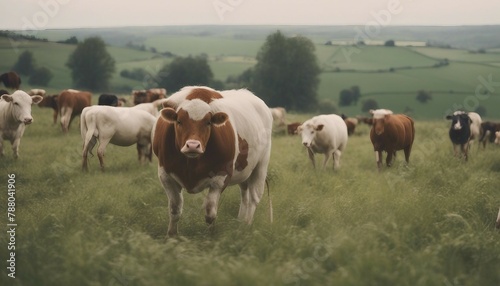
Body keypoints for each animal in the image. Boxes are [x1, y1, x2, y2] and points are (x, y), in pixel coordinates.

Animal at [151, 85, 274, 237]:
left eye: (208, 122)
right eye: (179, 121)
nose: (193, 145)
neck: (192, 163)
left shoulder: (221, 177)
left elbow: (210, 212)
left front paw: (210, 236)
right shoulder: (166, 175)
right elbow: (175, 209)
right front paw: (172, 236)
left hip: (261, 165)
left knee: (254, 197)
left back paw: (246, 226)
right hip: (244, 170)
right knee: (244, 194)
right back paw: (240, 222)